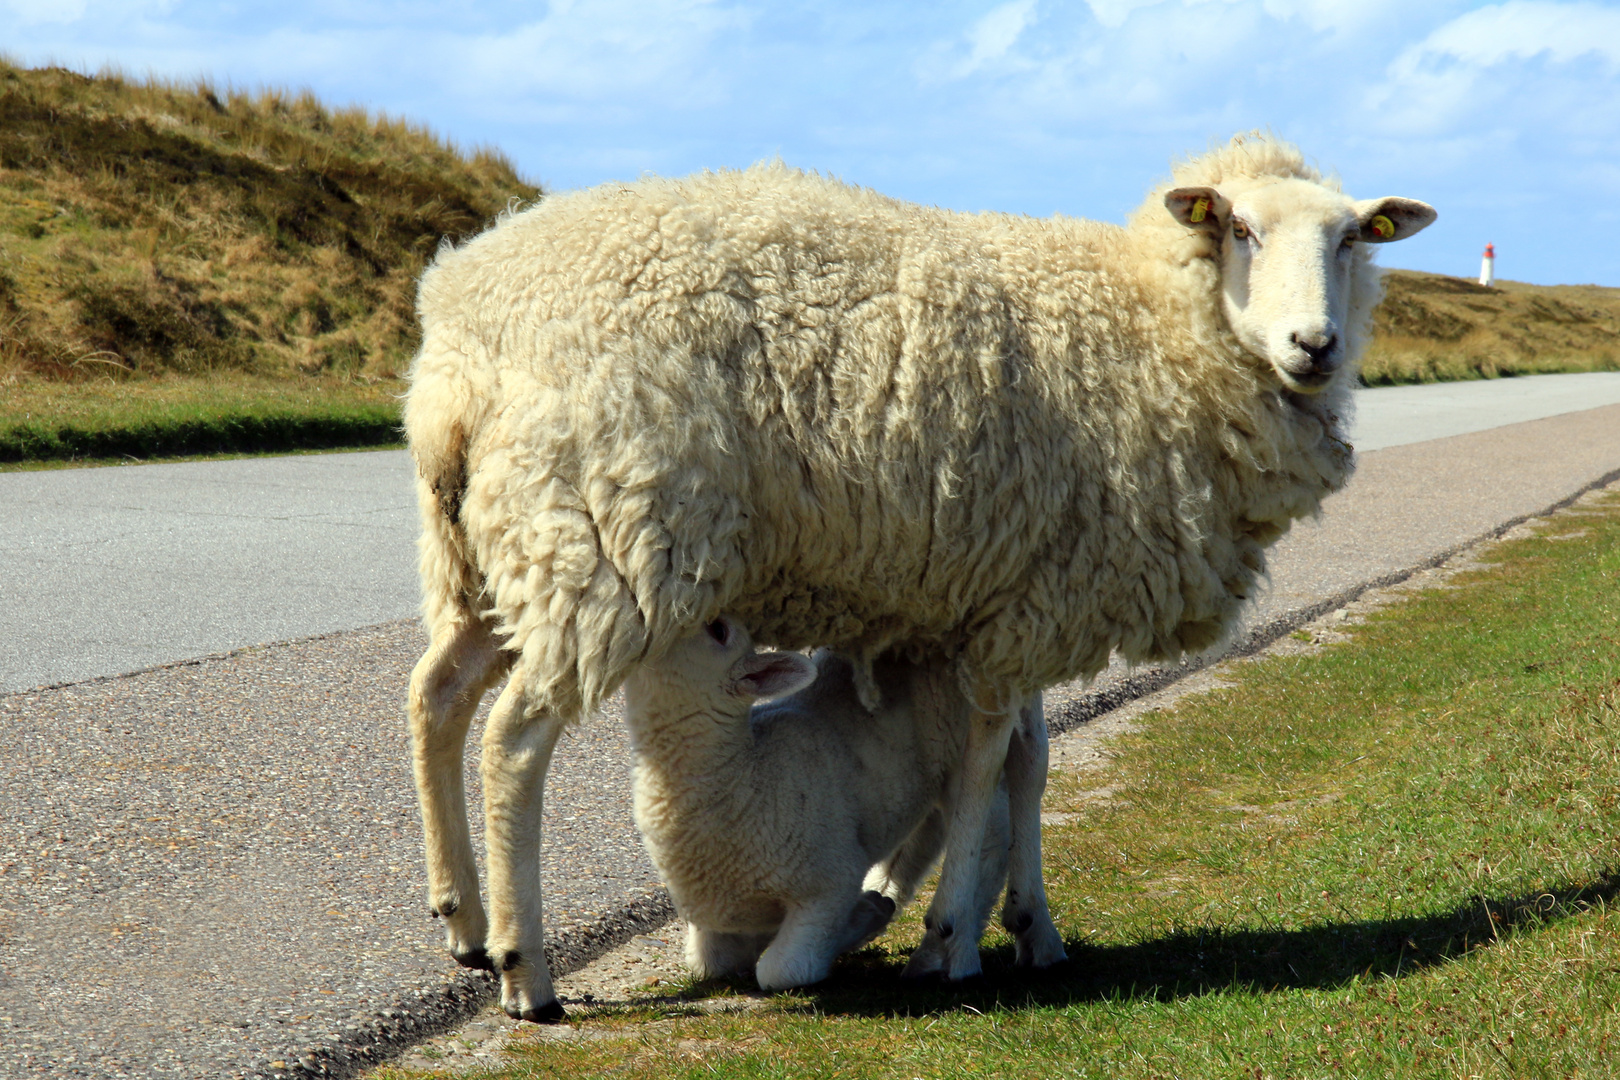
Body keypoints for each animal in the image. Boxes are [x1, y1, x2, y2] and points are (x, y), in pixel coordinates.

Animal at [618, 612, 1036, 990]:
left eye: (717, 629)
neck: (748, 778)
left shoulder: (829, 881)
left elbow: (780, 970)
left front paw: (866, 914)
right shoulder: (719, 918)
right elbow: (707, 963)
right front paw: (872, 907)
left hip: (964, 747)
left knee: (988, 832)